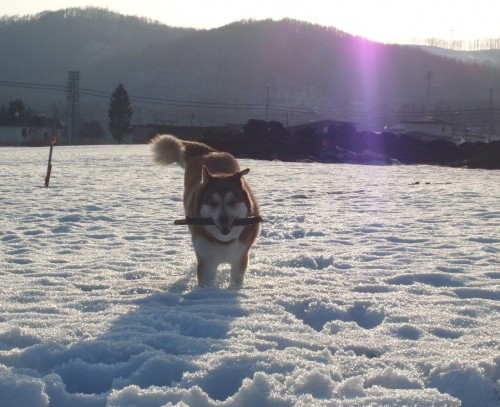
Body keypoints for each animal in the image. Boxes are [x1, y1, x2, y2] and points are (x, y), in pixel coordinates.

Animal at [149, 135, 262, 288]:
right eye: (212, 203)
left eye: (233, 202)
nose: (223, 219)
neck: (224, 242)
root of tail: (210, 152)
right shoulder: (207, 260)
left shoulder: (240, 258)